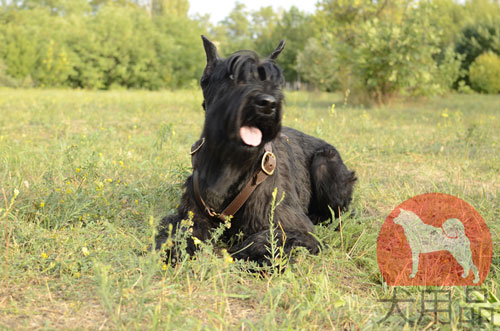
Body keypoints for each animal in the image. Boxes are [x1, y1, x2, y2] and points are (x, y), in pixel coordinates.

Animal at [156, 36, 356, 264]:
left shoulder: (295, 229)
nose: (267, 103)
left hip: (324, 163)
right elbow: (179, 230)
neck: (230, 166)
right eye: (232, 76)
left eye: (274, 81)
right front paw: (174, 250)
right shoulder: (190, 214)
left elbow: (258, 243)